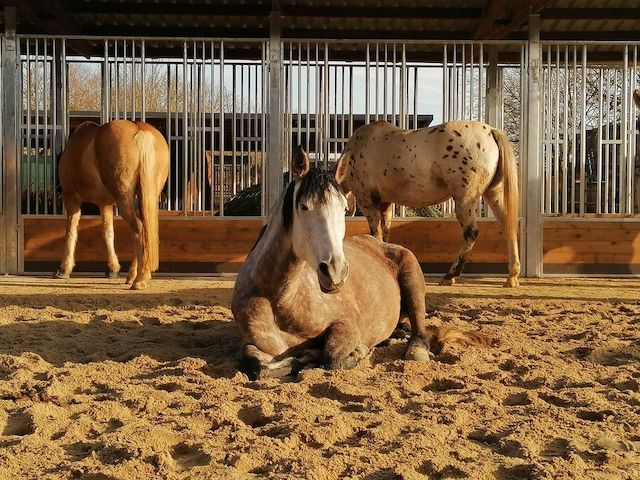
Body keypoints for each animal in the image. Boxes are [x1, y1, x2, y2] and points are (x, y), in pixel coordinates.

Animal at [55, 120, 169, 290]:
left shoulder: (71, 198)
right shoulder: (105, 204)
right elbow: (108, 233)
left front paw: (64, 268)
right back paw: (133, 276)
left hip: (124, 198)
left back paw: (140, 279)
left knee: (138, 227)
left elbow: (71, 232)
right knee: (144, 229)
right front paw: (113, 268)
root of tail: (139, 130)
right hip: (145, 197)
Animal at [231, 146, 492, 380]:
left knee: (419, 328)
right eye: (303, 207)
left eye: (344, 208)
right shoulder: (251, 343)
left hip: (413, 282)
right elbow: (254, 364)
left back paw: (415, 349)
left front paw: (353, 353)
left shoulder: (346, 325)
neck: (280, 301)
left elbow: (331, 357)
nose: (335, 272)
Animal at [334, 120, 520, 288]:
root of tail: (491, 131)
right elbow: (384, 233)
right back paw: (511, 277)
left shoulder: (368, 202)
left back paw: (450, 276)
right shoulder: (385, 204)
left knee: (471, 233)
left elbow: (376, 233)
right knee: (508, 227)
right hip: (494, 193)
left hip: (465, 199)